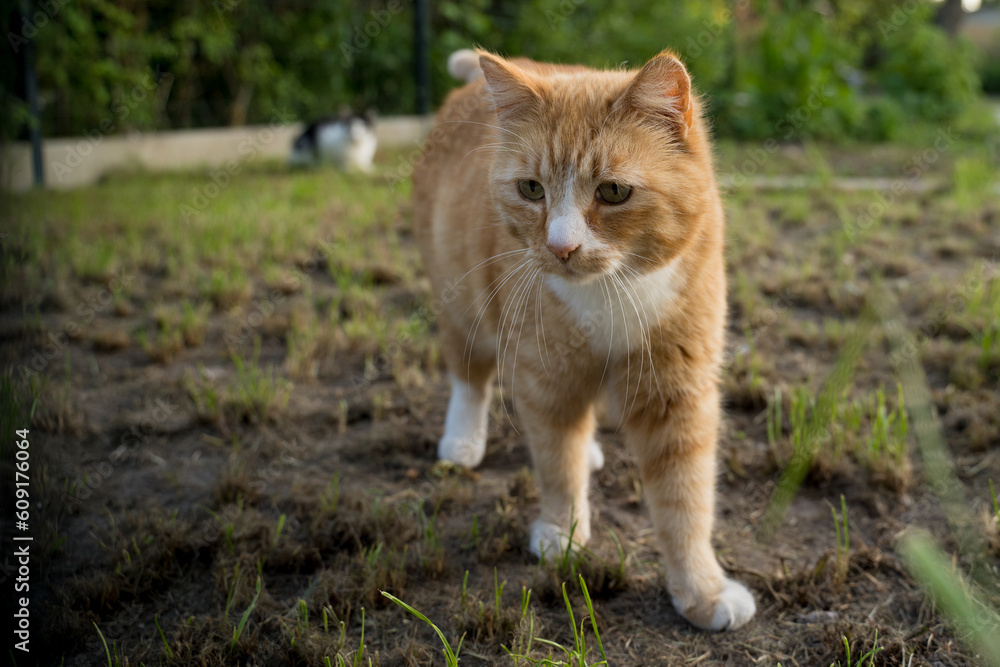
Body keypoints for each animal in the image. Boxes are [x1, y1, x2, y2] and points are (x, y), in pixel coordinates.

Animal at [410, 48, 752, 632]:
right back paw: (463, 440)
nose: (560, 248)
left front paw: (701, 590)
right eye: (531, 189)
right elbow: (555, 461)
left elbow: (685, 498)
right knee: (469, 377)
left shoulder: (676, 392)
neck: (609, 293)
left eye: (613, 191)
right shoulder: (547, 380)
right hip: (460, 304)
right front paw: (562, 532)